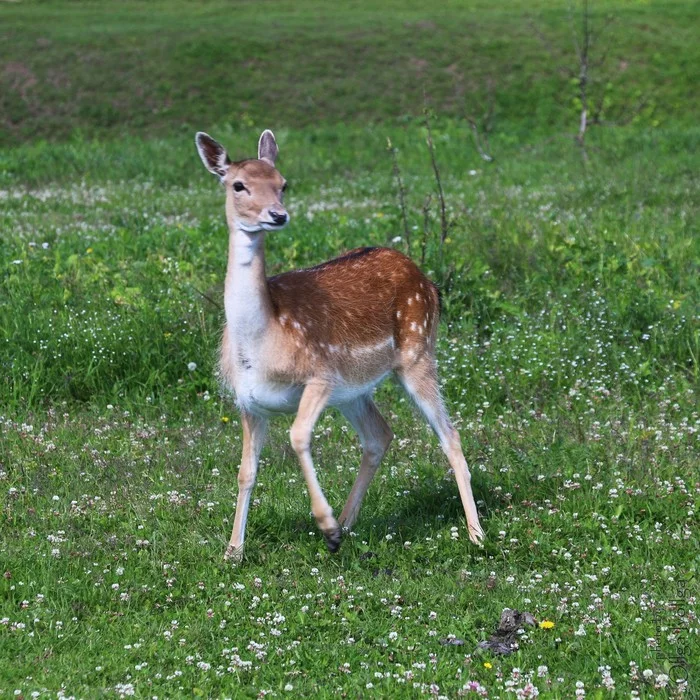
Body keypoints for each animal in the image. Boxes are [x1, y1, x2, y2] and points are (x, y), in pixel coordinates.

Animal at [194, 129, 484, 560]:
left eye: (283, 183)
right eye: (238, 185)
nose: (277, 215)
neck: (262, 342)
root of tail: (428, 281)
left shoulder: (320, 374)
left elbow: (298, 436)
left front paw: (325, 526)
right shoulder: (248, 401)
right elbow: (246, 472)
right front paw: (233, 552)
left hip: (417, 352)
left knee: (450, 436)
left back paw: (475, 534)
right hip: (354, 390)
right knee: (380, 434)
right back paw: (348, 524)